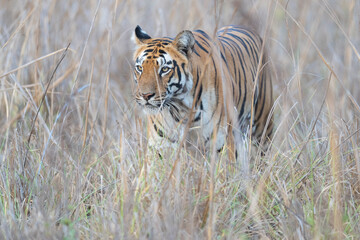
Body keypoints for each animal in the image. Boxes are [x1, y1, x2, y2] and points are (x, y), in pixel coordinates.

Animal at [132, 24, 272, 158]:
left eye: (165, 69)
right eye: (140, 68)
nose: (146, 95)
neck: (181, 108)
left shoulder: (222, 144)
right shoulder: (159, 144)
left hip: (261, 127)